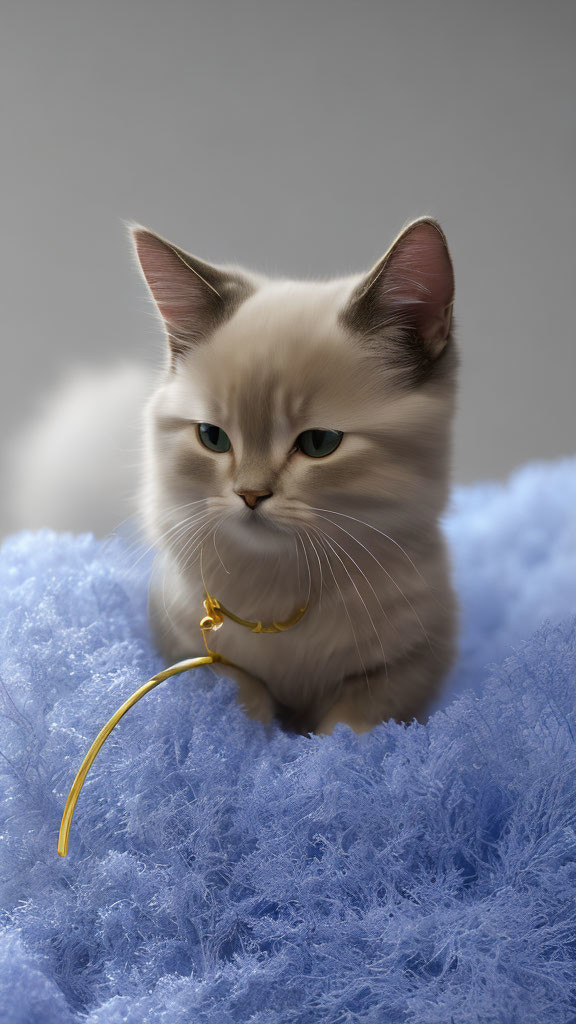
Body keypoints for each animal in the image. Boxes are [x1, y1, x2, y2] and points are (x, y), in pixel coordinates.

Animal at [131, 216, 457, 733]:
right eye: (212, 437)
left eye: (319, 443)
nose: (250, 494)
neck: (285, 582)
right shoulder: (191, 651)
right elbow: (244, 702)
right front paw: (262, 739)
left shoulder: (411, 659)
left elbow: (349, 727)